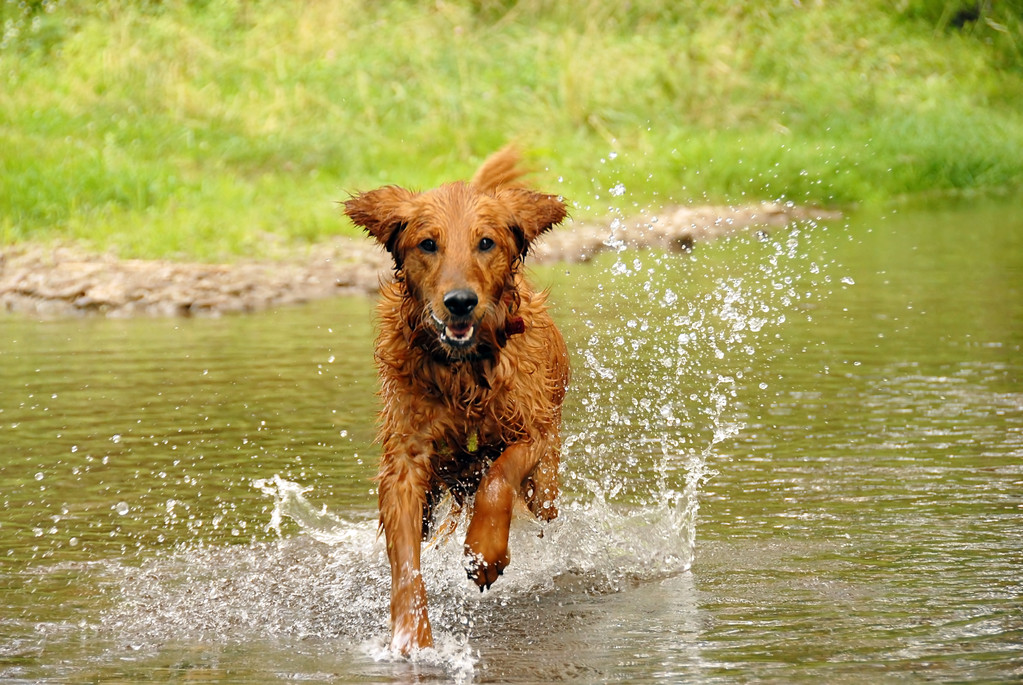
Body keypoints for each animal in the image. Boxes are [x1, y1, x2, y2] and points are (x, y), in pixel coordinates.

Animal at [341, 149, 568, 654]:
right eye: (428, 244)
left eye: (486, 242)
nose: (460, 302)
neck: (463, 370)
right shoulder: (405, 462)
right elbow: (406, 560)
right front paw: (412, 636)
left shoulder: (534, 431)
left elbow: (499, 478)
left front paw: (484, 552)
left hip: (545, 485)